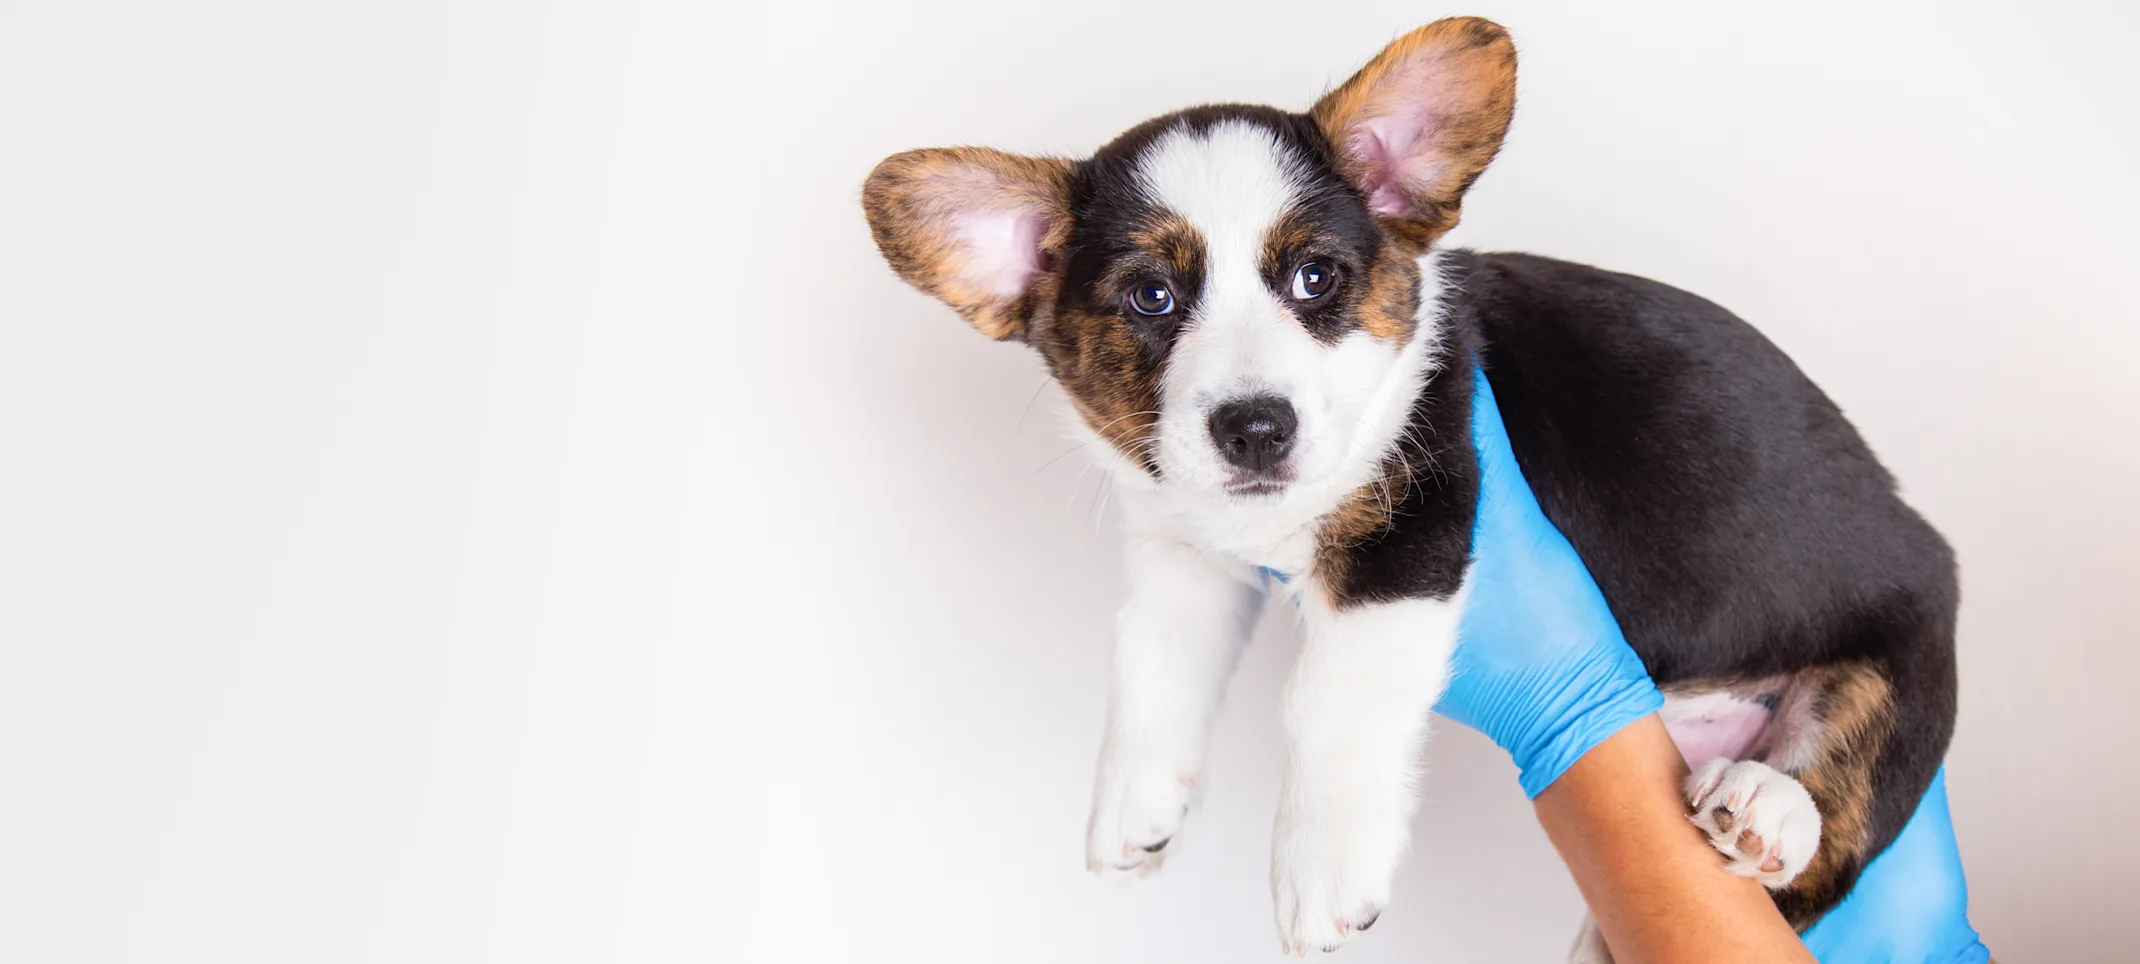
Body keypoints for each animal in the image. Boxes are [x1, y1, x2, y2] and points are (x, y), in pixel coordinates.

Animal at [856, 15, 1960, 955]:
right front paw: (1135, 805)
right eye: (1150, 297)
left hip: (1903, 669)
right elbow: (1148, 662)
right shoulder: (1185, 551)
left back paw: (1768, 811)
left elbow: (1326, 704)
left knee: (1833, 839)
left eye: (1315, 279)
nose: (1254, 429)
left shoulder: (1410, 525)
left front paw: (1320, 873)